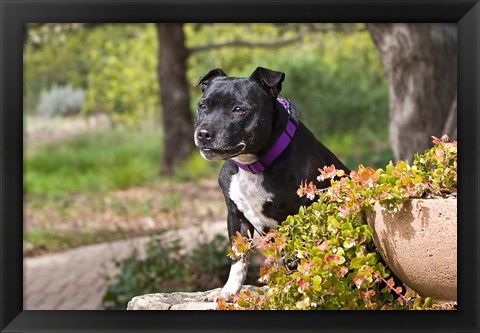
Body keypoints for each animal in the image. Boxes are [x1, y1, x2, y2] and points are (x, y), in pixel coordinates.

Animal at [194, 67, 348, 300]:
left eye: (239, 109)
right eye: (203, 106)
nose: (203, 133)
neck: (252, 165)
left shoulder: (300, 217)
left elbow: (299, 260)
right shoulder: (236, 216)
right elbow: (239, 258)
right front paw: (228, 292)